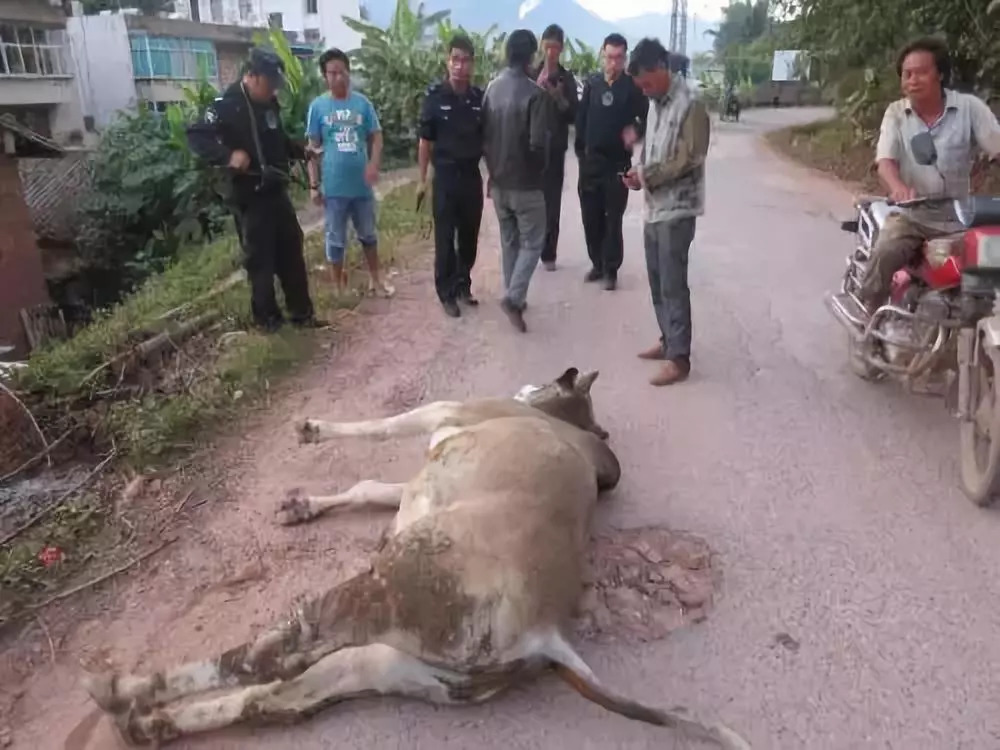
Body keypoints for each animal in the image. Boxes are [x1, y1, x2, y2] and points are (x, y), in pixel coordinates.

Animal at [80, 370, 752, 750]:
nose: (530, 385)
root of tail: (547, 633)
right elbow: (371, 488)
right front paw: (303, 506)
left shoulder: (443, 411)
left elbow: (379, 432)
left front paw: (313, 430)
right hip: (392, 664)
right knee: (280, 697)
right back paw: (149, 725)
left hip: (383, 592)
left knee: (272, 654)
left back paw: (125, 691)